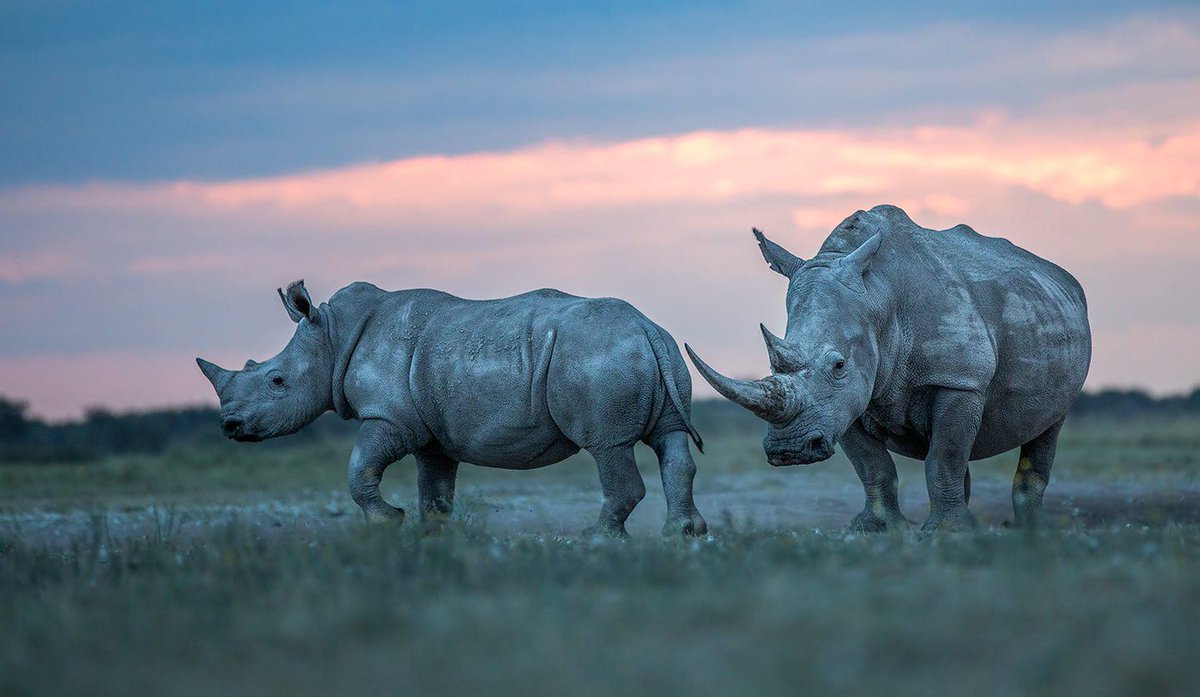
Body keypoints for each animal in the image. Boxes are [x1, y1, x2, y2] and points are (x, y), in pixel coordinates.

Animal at [197, 281, 707, 537]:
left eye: (277, 381)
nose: (229, 425)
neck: (332, 336)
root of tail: (646, 327)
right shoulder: (431, 434)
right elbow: (435, 489)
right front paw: (433, 535)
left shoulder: (388, 416)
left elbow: (359, 469)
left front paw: (387, 524)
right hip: (653, 353)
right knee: (670, 441)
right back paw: (683, 534)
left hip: (596, 356)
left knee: (607, 447)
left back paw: (597, 539)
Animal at [686, 205, 1091, 532]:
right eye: (773, 363)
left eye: (838, 364)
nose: (789, 450)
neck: (879, 296)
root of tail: (1064, 279)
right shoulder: (845, 400)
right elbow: (875, 466)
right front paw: (877, 529)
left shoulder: (958, 380)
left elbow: (942, 458)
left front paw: (947, 532)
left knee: (1047, 426)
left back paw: (1032, 531)